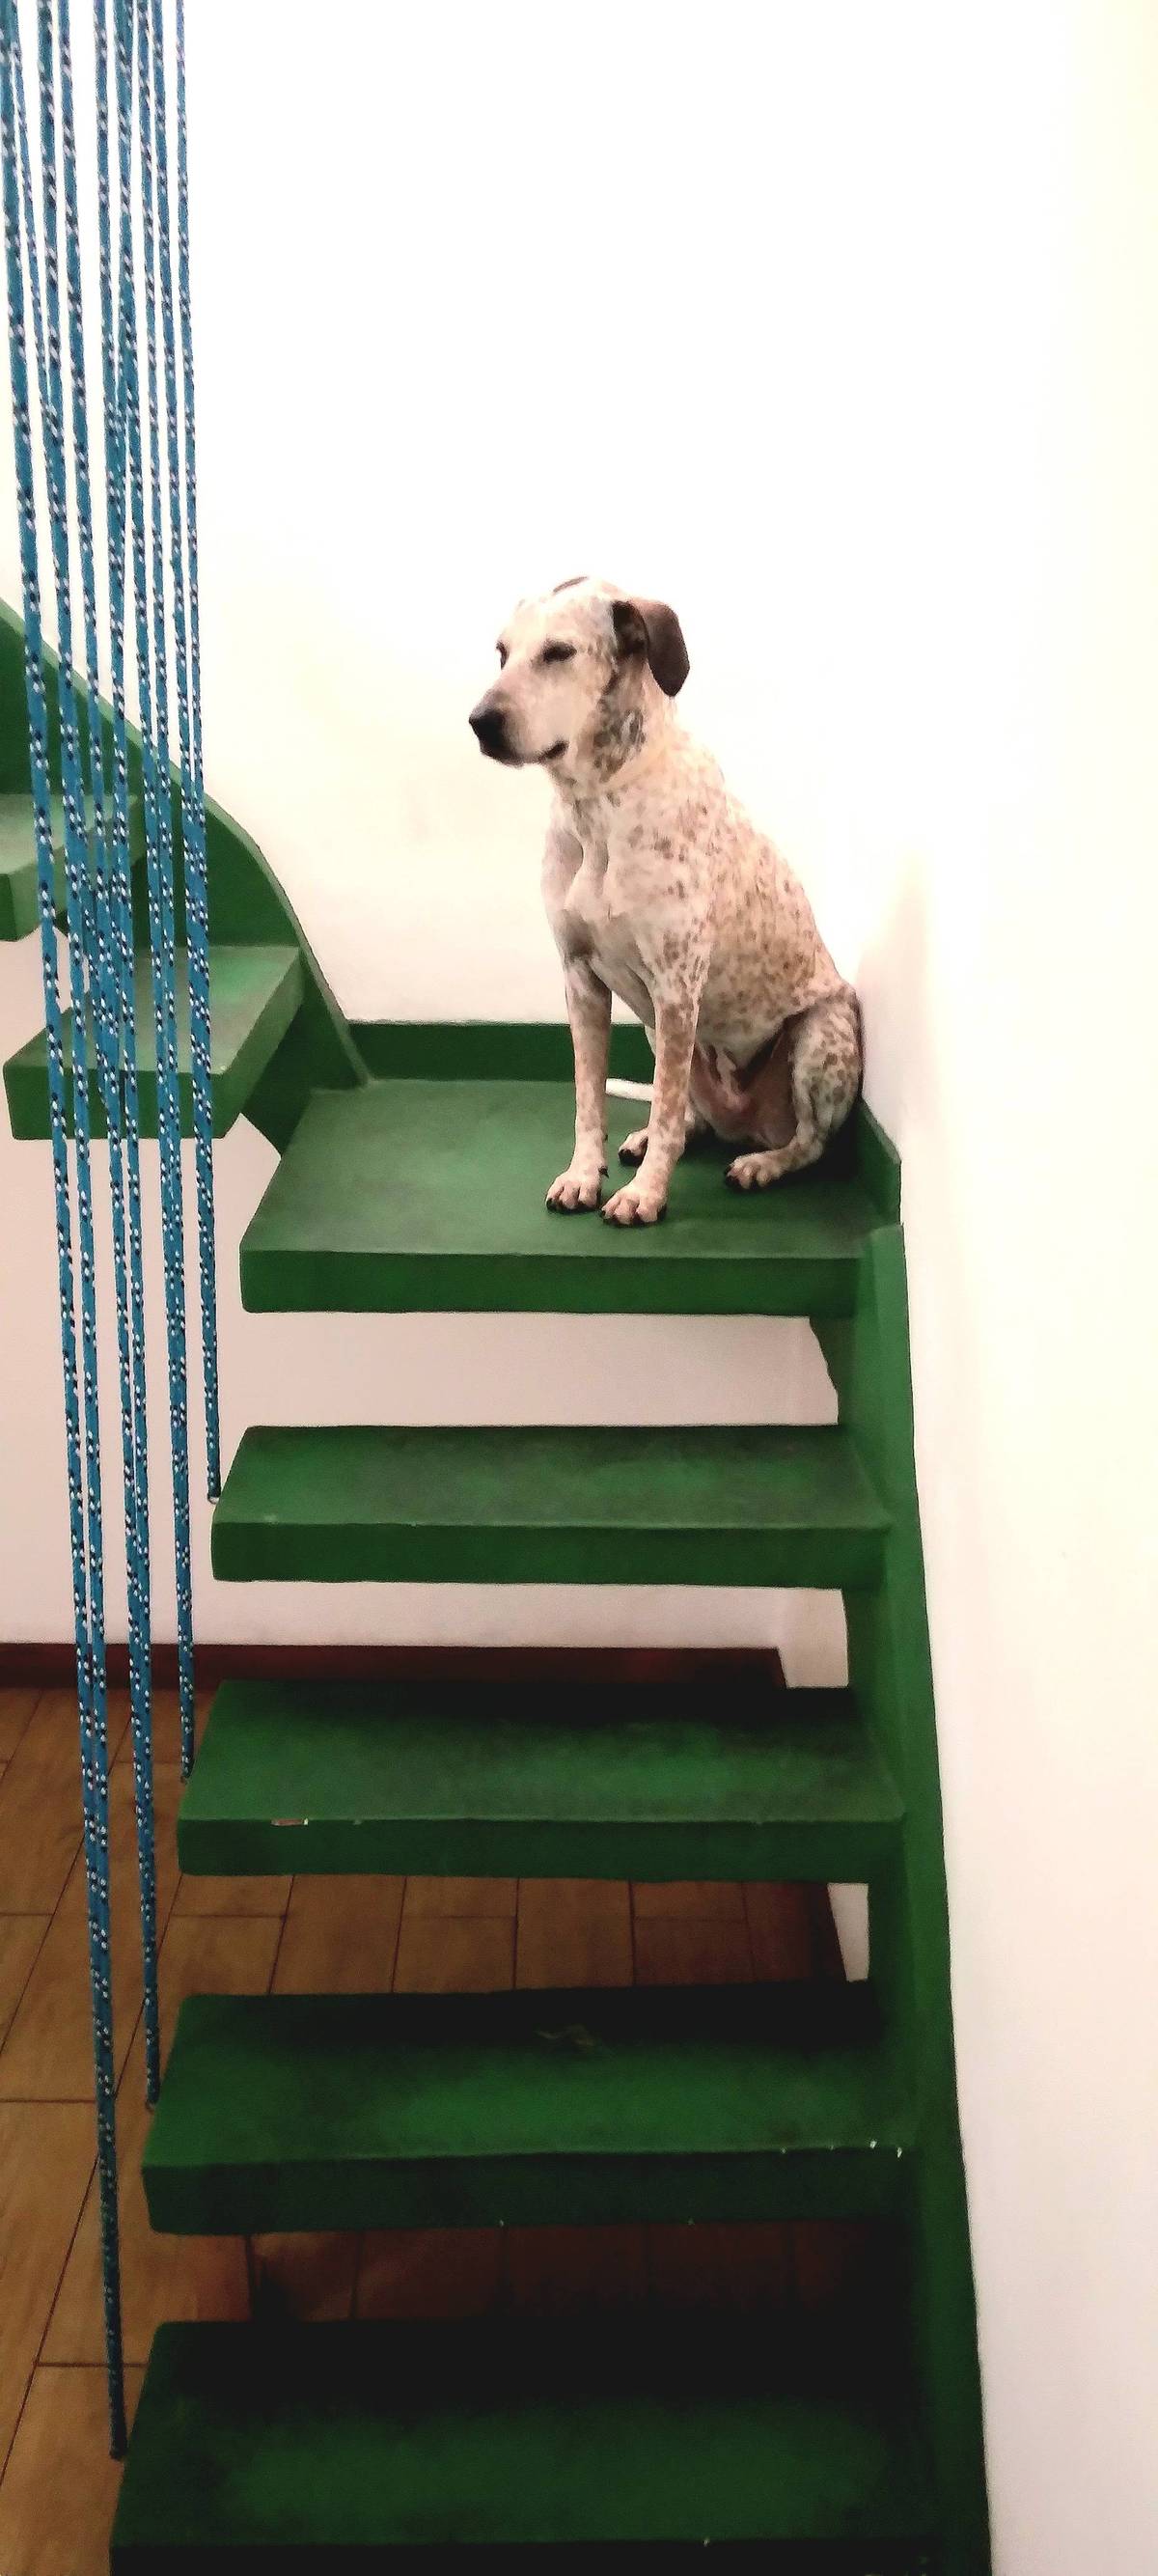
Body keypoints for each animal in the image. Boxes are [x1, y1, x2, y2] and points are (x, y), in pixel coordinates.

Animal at [469, 577, 861, 1226]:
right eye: (502, 653)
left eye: (559, 652)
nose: (480, 722)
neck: (597, 806)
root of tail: (744, 1124)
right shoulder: (581, 980)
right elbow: (589, 1100)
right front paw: (584, 1175)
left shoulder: (677, 987)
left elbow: (665, 1105)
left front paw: (645, 1195)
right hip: (658, 1028)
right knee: (685, 1113)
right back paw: (655, 1136)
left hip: (818, 1033)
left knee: (806, 1141)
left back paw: (762, 1164)